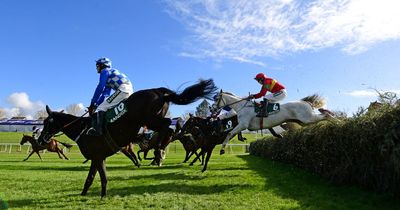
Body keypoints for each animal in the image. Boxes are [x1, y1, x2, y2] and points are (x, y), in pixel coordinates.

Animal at [37, 79, 217, 197]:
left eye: (47, 122)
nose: (40, 139)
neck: (82, 128)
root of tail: (158, 91)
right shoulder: (98, 158)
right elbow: (94, 178)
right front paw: (87, 194)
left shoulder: (97, 157)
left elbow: (98, 178)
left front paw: (99, 195)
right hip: (153, 119)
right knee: (171, 126)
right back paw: (159, 151)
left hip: (149, 119)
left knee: (170, 125)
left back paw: (159, 150)